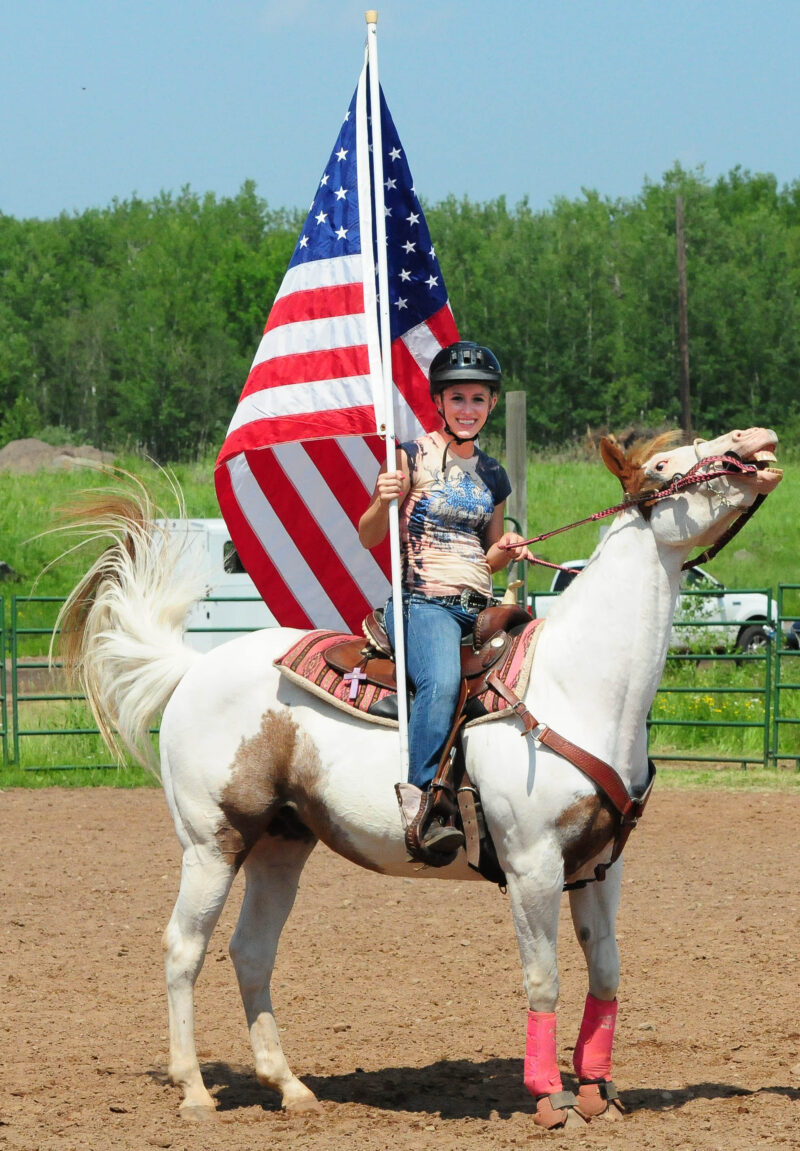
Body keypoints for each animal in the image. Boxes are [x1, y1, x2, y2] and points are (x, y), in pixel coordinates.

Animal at [57, 428, 782, 1127]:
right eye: (662, 466)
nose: (757, 442)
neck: (575, 682)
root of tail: (192, 667)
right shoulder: (534, 863)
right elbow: (543, 977)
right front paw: (550, 1099)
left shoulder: (600, 864)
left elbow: (605, 972)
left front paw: (599, 1091)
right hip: (213, 842)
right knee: (184, 948)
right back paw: (195, 1092)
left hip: (281, 844)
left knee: (251, 950)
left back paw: (290, 1086)